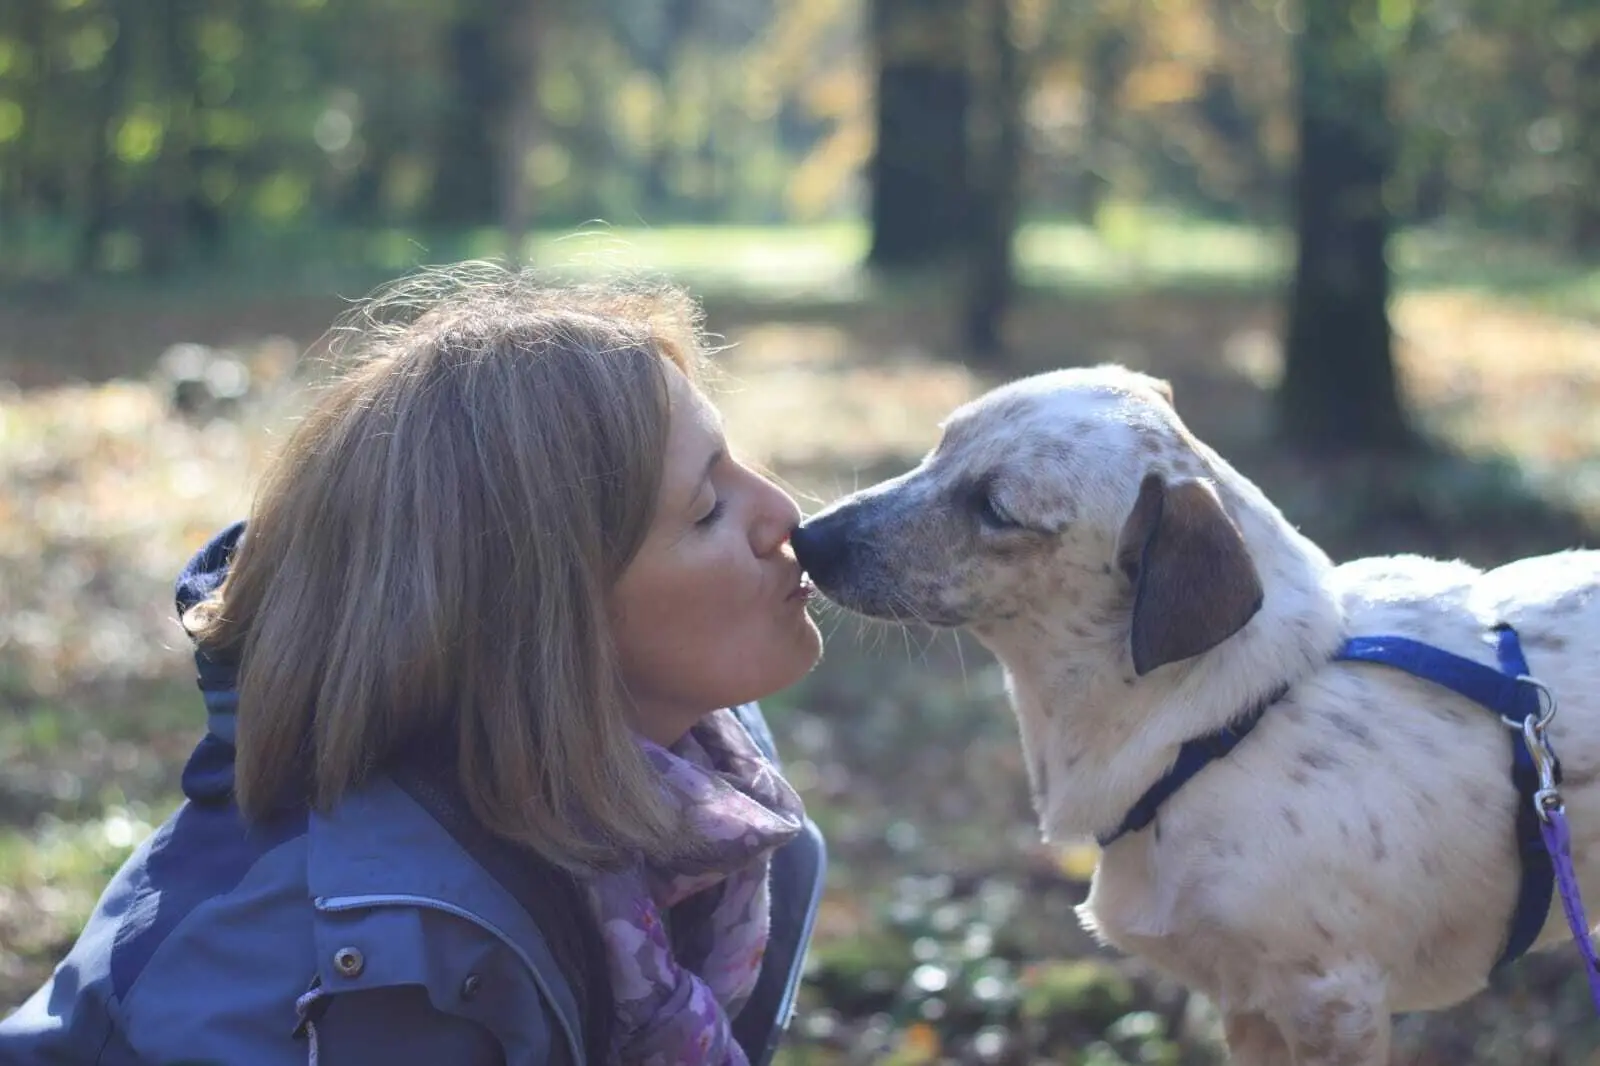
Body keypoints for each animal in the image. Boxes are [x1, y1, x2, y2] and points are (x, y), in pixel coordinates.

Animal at [787, 361, 1600, 1056]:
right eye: (940, 447)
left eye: (995, 508)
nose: (804, 539)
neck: (1224, 728)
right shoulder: (1248, 1008)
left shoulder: (1333, 1003)